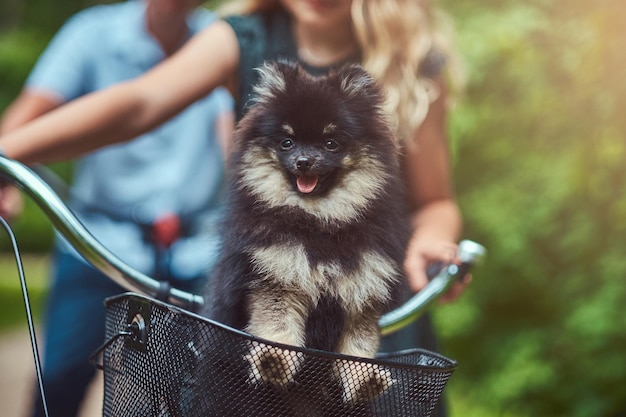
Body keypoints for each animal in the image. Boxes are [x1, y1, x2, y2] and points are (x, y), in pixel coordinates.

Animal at [204, 60, 410, 402]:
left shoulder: (362, 293)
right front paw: (273, 363)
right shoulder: (276, 279)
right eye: (287, 141)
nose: (303, 161)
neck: (319, 222)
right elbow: (277, 329)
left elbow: (358, 347)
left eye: (330, 143)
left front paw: (363, 380)